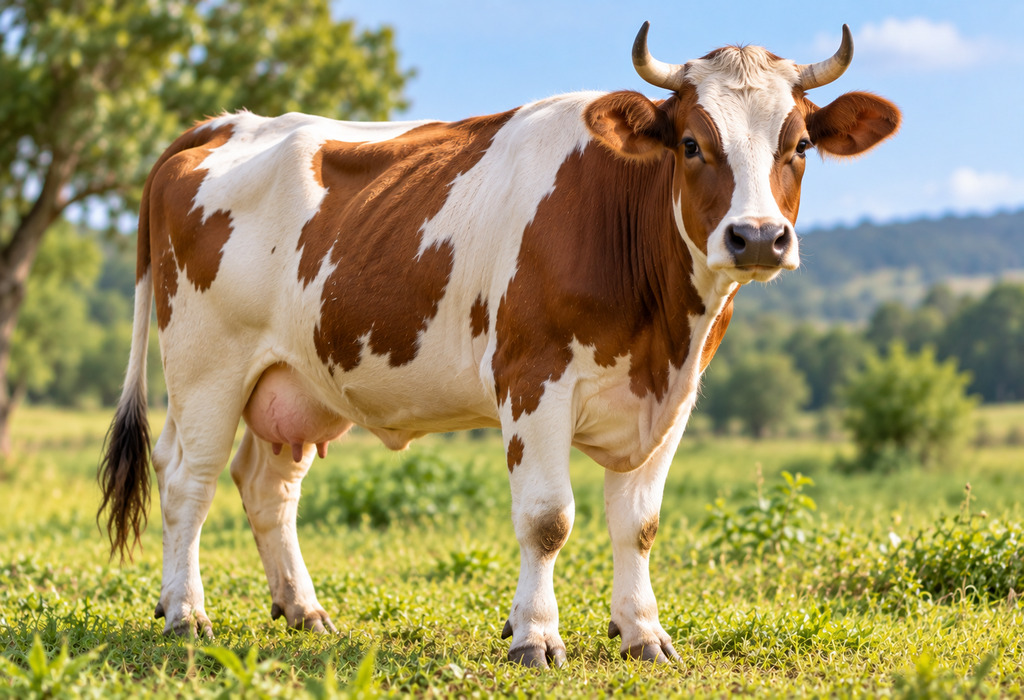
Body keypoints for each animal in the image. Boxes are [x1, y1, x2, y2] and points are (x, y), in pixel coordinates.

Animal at [99, 22, 900, 667]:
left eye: (800, 145)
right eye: (693, 142)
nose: (758, 237)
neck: (661, 326)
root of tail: (227, 124)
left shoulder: (674, 395)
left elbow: (639, 525)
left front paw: (643, 633)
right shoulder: (533, 379)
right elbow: (547, 519)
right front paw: (535, 636)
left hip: (294, 379)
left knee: (267, 486)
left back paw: (305, 610)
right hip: (207, 365)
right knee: (189, 478)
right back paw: (186, 614)